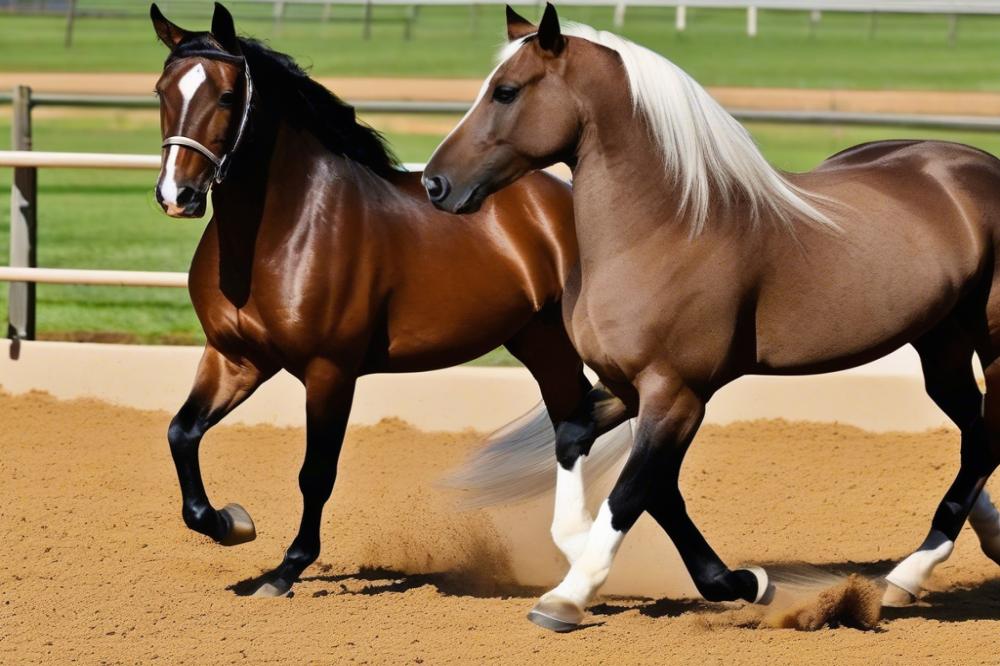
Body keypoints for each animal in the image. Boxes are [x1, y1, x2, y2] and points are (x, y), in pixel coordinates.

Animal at [147, 2, 628, 600]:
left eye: (228, 96)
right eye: (161, 91)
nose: (177, 195)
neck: (283, 232)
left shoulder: (330, 371)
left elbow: (316, 473)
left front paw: (285, 571)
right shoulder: (235, 359)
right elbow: (181, 433)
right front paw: (233, 523)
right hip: (537, 342)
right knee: (577, 423)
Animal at [424, 3, 1000, 628]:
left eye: (505, 91)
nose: (435, 183)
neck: (667, 228)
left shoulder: (678, 394)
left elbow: (632, 492)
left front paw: (567, 596)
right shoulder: (627, 386)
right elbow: (590, 448)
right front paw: (743, 581)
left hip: (990, 344)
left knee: (987, 437)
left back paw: (910, 572)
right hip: (941, 346)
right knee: (977, 436)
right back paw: (925, 569)